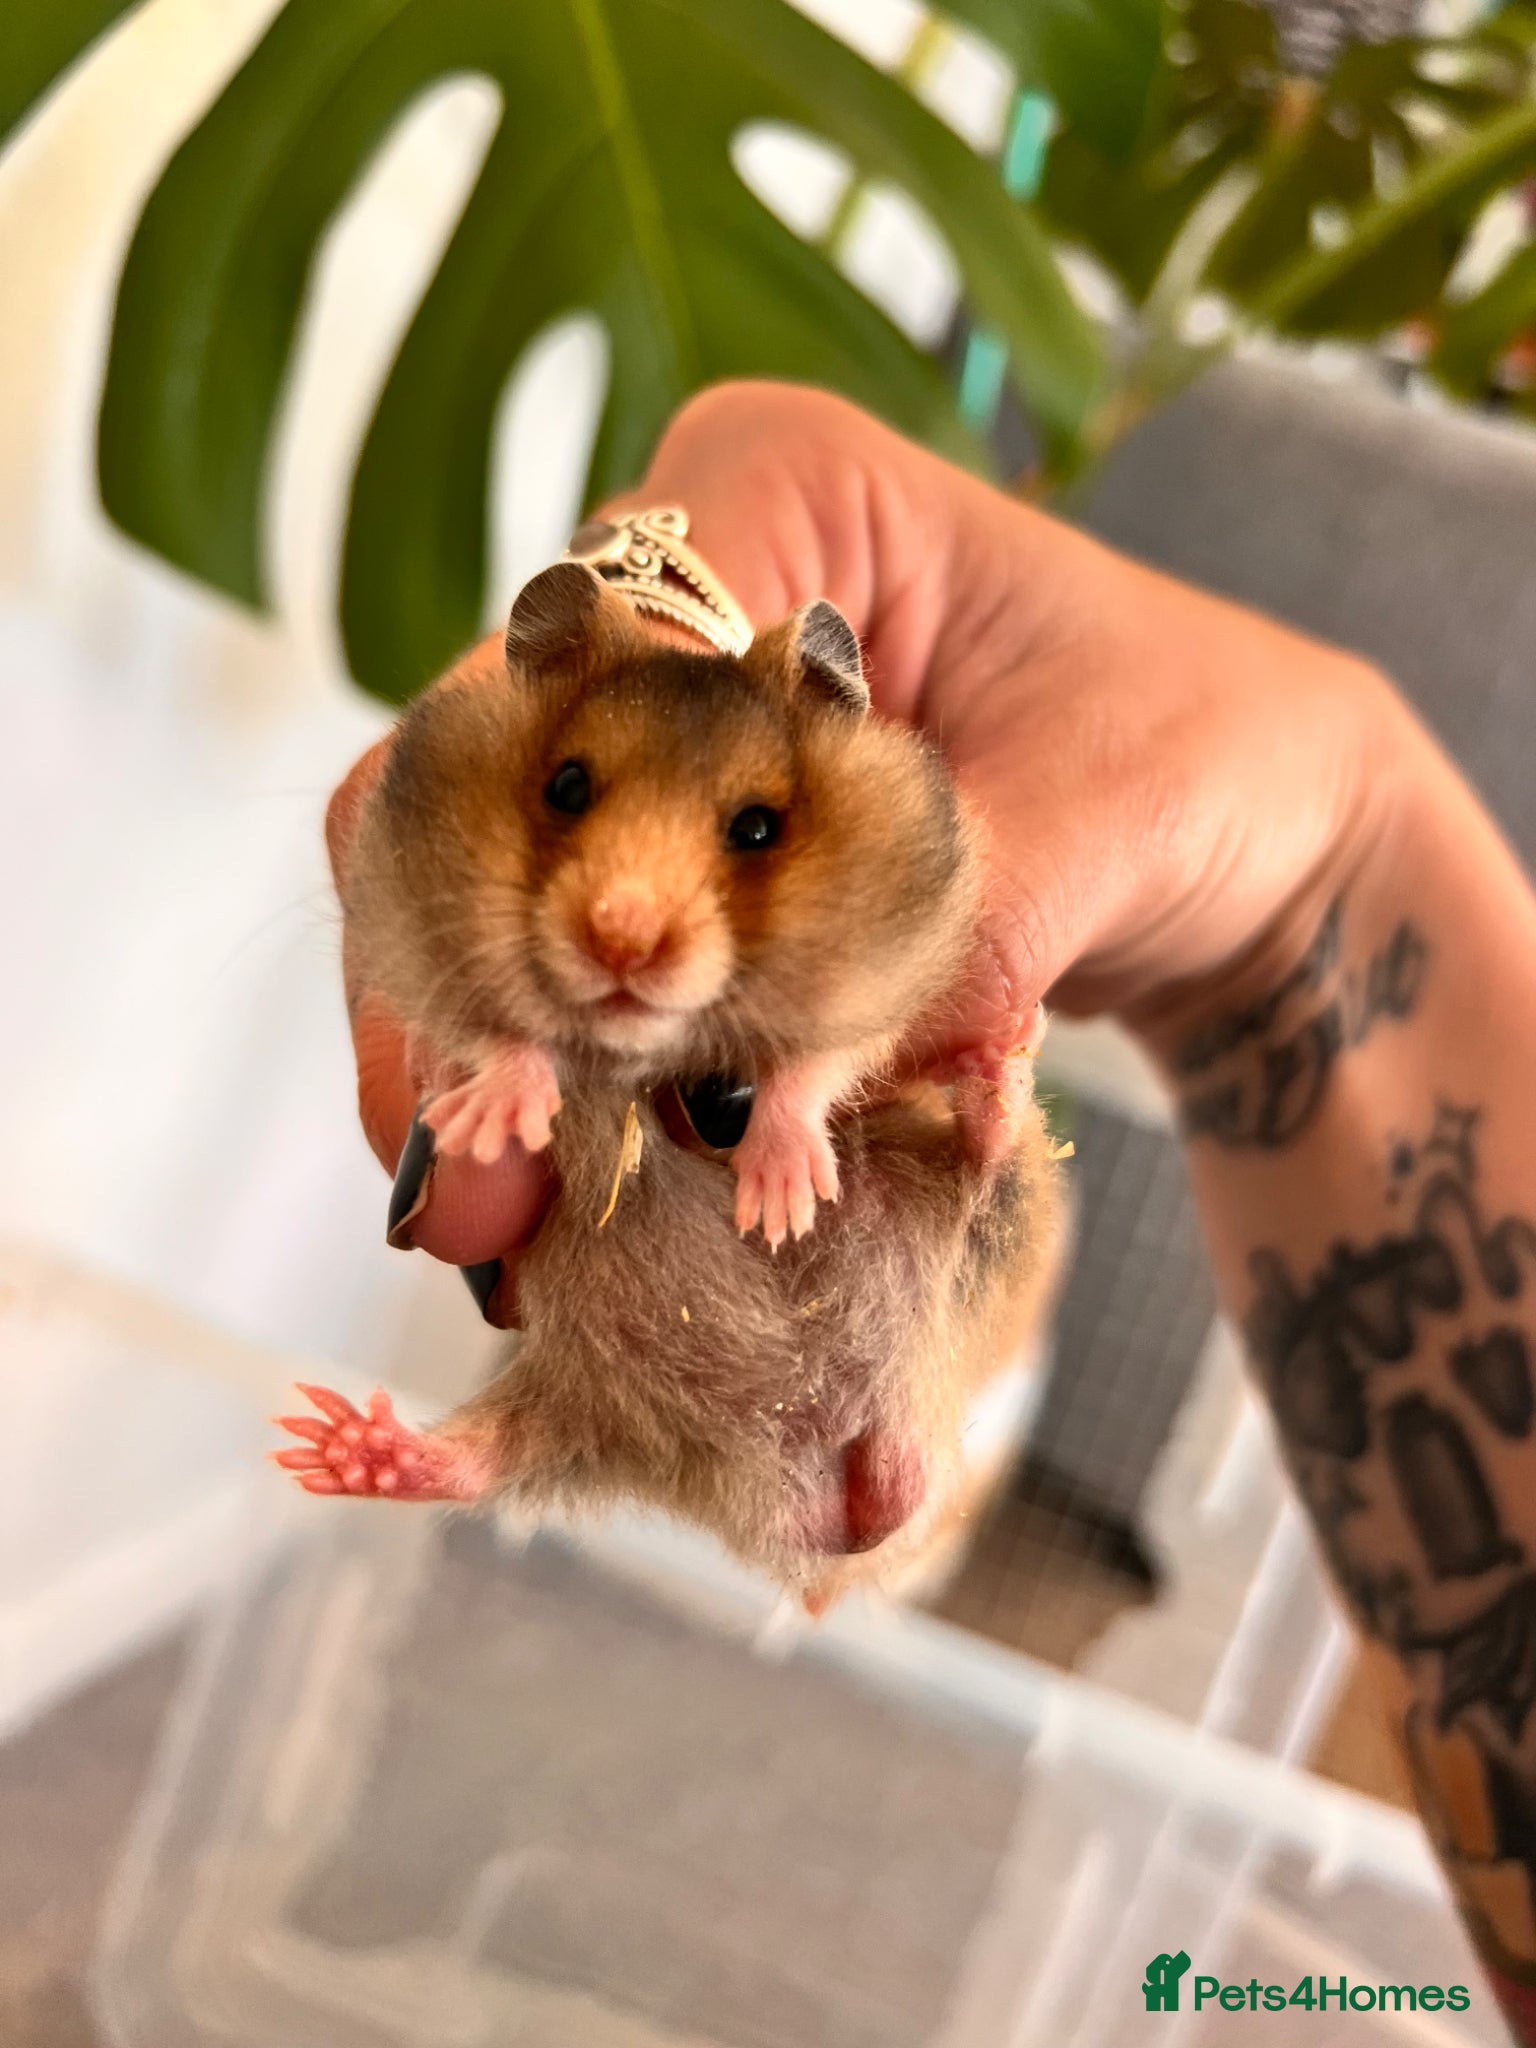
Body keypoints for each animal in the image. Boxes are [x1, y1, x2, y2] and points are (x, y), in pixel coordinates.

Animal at [277, 563, 1065, 1606]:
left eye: (757, 828)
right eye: (567, 786)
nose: (622, 939)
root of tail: (808, 1502)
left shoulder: (888, 965)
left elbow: (812, 1068)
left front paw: (779, 1201)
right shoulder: (415, 927)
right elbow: (499, 1037)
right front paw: (493, 1119)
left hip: (963, 1233)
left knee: (981, 1175)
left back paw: (999, 1070)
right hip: (592, 1394)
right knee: (492, 1455)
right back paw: (339, 1448)